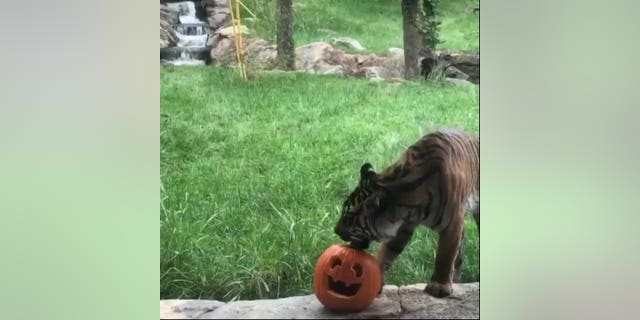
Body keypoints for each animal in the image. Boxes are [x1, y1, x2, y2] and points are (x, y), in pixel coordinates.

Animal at [332, 129, 478, 298]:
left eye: (349, 216)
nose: (335, 230)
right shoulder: (402, 226)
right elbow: (386, 253)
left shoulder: (451, 223)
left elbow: (445, 254)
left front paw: (439, 285)